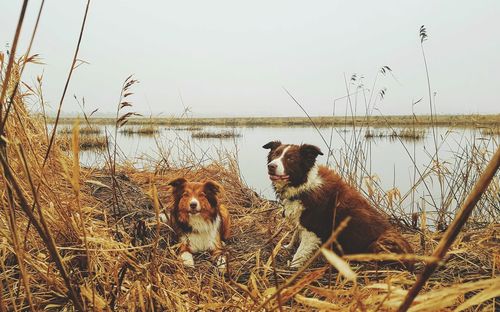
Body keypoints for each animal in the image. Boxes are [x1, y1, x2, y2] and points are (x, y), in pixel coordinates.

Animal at [262, 141, 414, 268]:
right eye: (275, 155)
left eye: (290, 159)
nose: (271, 166)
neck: (303, 183)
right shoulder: (302, 220)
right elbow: (295, 233)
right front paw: (287, 246)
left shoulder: (312, 228)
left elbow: (300, 253)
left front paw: (293, 269)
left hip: (382, 242)